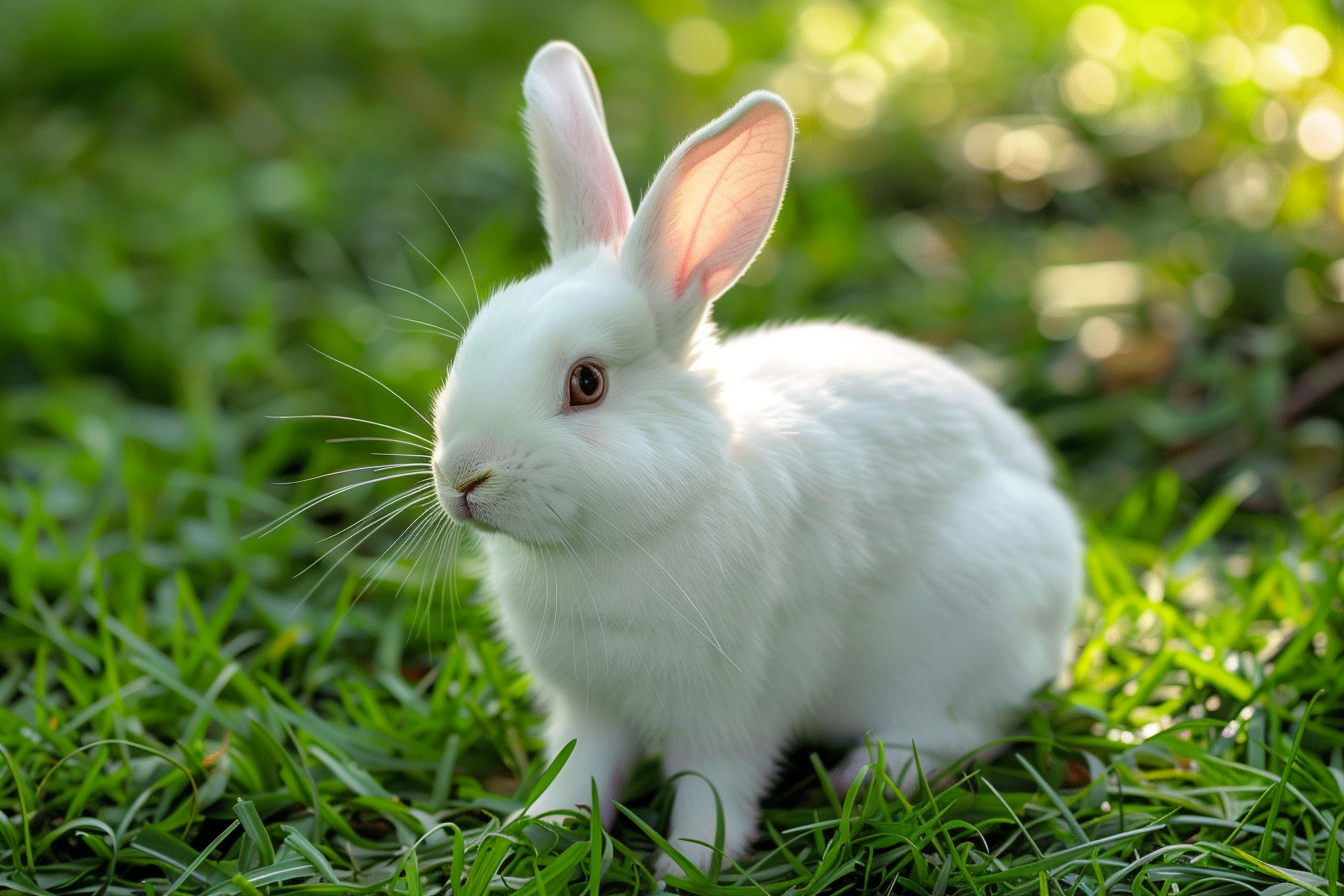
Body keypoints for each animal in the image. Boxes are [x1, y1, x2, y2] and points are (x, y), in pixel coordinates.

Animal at [428, 40, 1082, 875]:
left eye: (587, 383)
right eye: (472, 345)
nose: (462, 478)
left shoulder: (733, 706)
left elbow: (715, 785)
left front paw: (689, 866)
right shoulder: (588, 705)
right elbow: (582, 772)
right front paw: (534, 834)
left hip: (968, 637)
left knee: (969, 729)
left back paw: (869, 777)